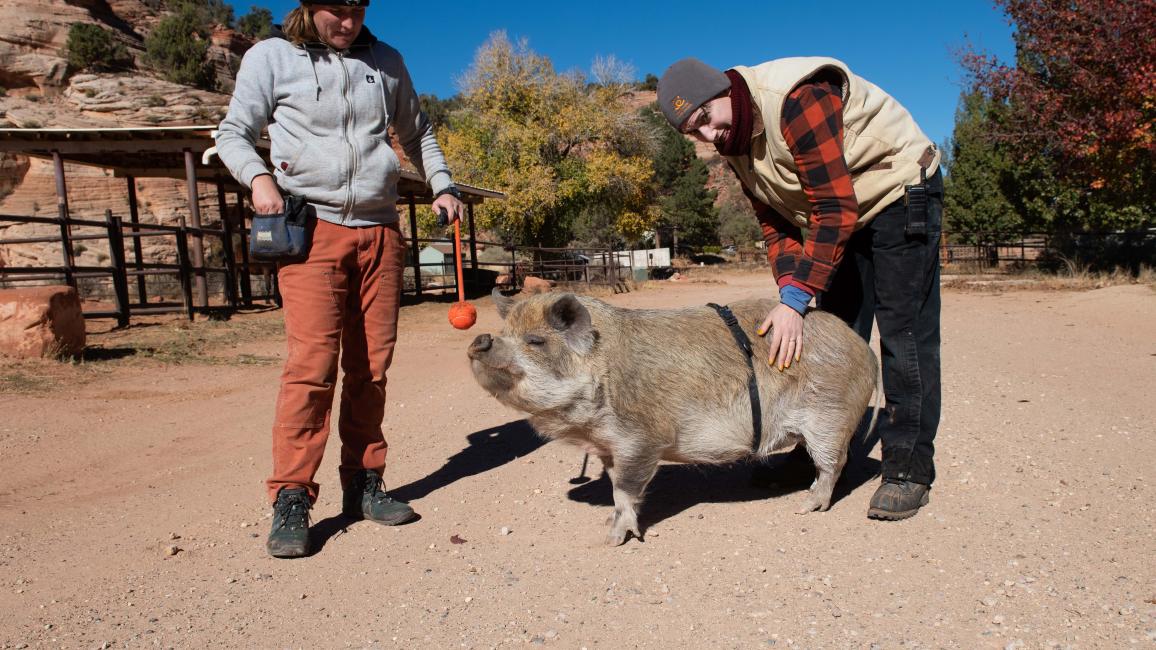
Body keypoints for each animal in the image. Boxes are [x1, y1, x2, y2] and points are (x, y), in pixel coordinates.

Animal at [467, 290, 879, 545]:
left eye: (536, 341)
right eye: (505, 332)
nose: (481, 339)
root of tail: (865, 350)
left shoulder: (642, 437)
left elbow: (625, 489)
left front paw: (613, 540)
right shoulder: (608, 446)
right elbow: (614, 484)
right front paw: (607, 525)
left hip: (829, 417)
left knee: (834, 463)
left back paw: (807, 506)